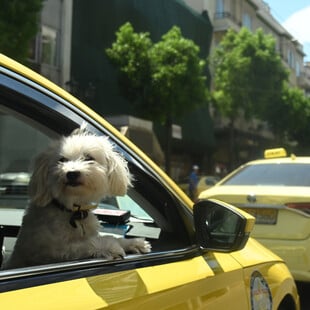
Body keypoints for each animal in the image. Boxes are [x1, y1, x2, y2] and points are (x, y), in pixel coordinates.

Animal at [3, 126, 151, 268]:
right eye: (62, 160)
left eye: (89, 158)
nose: (72, 173)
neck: (73, 210)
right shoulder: (53, 250)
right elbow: (88, 243)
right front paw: (111, 246)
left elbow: (112, 238)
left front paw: (134, 243)